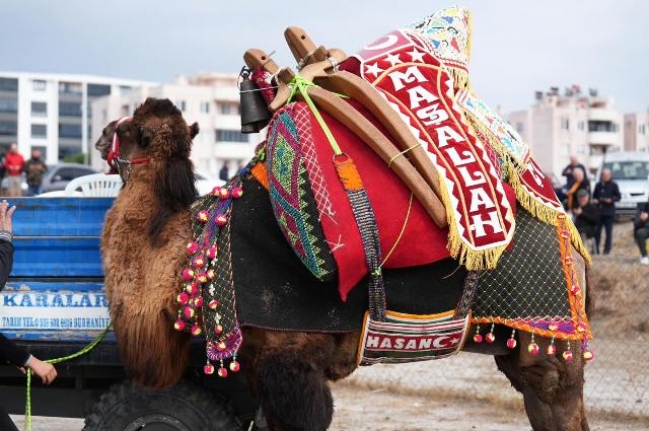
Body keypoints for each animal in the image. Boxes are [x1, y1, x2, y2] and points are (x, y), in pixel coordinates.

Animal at [95, 98, 592, 431]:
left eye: (126, 127)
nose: (100, 135)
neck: (191, 247)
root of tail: (567, 224)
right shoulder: (259, 359)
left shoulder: (289, 355)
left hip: (547, 335)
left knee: (556, 399)